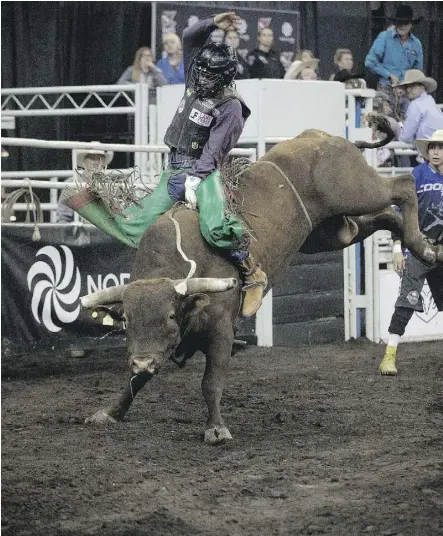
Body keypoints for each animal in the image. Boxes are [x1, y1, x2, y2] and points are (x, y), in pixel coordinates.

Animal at [81, 121, 442, 444]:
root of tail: (319, 136)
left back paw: (423, 246)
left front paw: (216, 429)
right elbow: (135, 382)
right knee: (383, 217)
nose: (142, 360)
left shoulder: (220, 331)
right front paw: (110, 412)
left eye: (170, 316)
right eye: (126, 320)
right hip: (329, 233)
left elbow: (211, 382)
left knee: (403, 184)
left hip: (356, 190)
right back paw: (423, 245)